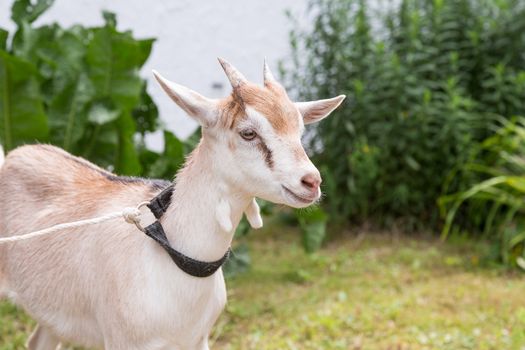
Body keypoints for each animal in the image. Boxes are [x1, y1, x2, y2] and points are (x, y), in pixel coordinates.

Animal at [0, 58, 344, 348]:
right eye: (248, 133)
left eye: (300, 130)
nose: (311, 181)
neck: (169, 249)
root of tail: (10, 158)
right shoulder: (123, 341)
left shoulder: (197, 339)